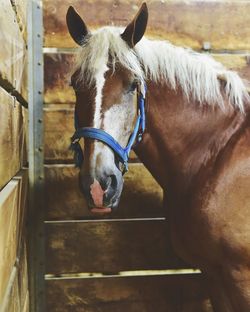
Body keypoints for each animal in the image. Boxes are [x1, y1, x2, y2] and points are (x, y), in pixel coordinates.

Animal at [65, 3, 249, 312]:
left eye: (132, 84)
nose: (98, 185)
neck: (219, 153)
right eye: (76, 84)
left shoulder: (240, 279)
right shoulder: (214, 277)